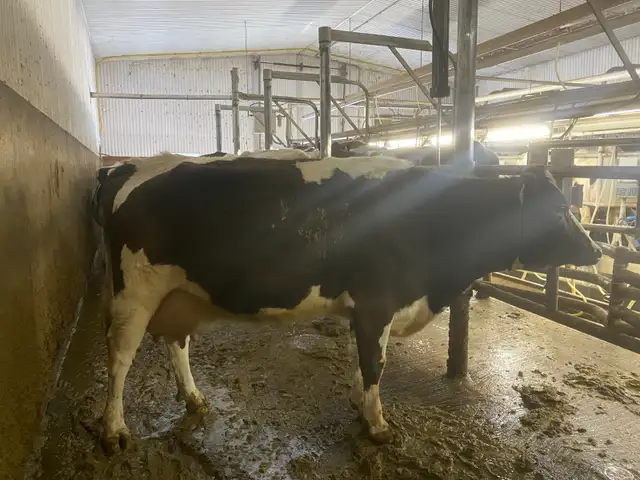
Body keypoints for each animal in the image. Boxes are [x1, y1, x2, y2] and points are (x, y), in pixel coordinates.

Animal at [93, 151, 601, 453]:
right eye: (559, 211)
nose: (596, 252)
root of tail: (137, 166)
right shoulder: (377, 300)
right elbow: (376, 362)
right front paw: (377, 424)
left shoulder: (373, 308)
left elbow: (367, 361)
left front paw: (360, 402)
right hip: (133, 292)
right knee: (119, 357)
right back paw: (114, 428)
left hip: (179, 293)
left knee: (175, 343)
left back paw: (195, 399)